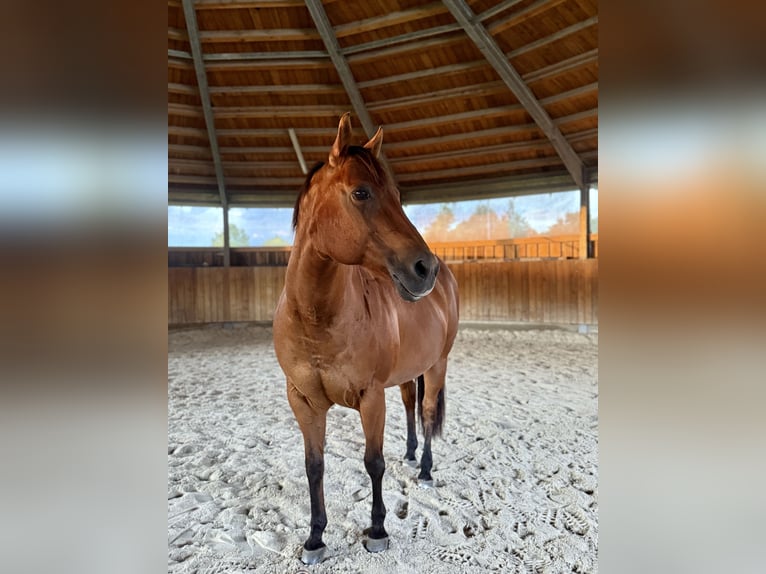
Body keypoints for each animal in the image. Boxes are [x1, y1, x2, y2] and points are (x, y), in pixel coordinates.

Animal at [272, 113, 459, 564]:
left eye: (397, 194)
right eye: (361, 192)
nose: (425, 268)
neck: (318, 319)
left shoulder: (370, 397)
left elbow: (373, 462)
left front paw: (377, 530)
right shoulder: (302, 401)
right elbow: (314, 465)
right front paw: (315, 538)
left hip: (438, 364)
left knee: (428, 412)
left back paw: (424, 469)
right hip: (410, 371)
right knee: (411, 404)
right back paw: (409, 453)